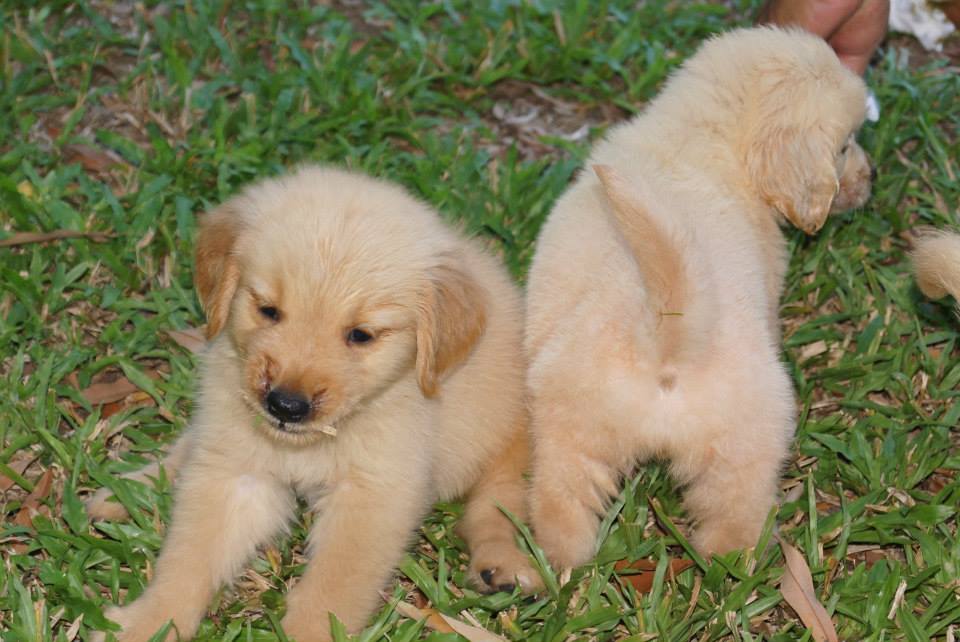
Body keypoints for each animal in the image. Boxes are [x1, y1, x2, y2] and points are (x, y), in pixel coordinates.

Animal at [88, 165, 539, 641]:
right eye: (268, 310)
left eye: (360, 335)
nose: (285, 406)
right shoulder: (235, 471)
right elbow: (188, 558)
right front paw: (148, 622)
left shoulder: (374, 493)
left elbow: (332, 587)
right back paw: (130, 487)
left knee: (495, 505)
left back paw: (501, 565)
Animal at [523, 26, 874, 569]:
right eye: (844, 145)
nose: (870, 179)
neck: (699, 131)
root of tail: (662, 333)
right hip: (746, 446)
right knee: (733, 523)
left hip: (567, 436)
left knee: (562, 509)